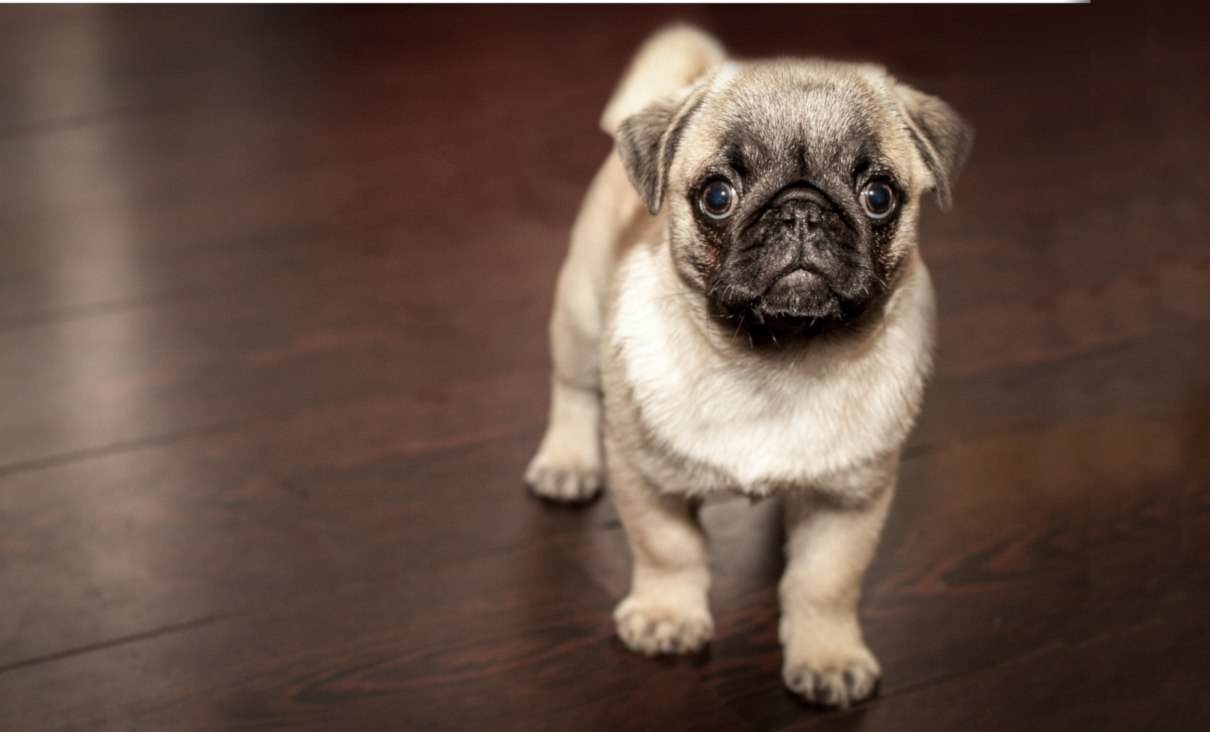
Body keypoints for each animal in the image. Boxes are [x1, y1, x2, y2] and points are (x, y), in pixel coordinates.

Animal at [525, 24, 968, 706]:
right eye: (716, 196)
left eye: (878, 196)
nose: (802, 210)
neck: (774, 360)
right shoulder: (645, 477)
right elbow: (669, 549)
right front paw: (667, 616)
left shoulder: (849, 500)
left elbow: (825, 582)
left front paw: (828, 656)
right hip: (578, 314)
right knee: (572, 389)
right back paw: (567, 463)